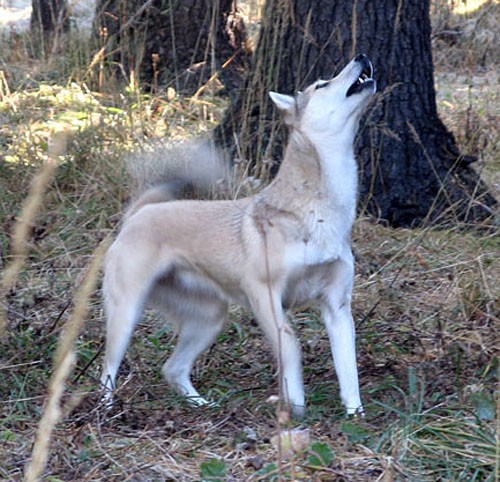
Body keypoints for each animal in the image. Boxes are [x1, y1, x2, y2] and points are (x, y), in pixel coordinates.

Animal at [100, 54, 376, 417]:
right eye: (322, 84)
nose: (362, 56)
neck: (316, 210)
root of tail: (136, 216)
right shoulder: (265, 294)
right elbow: (292, 346)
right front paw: (295, 406)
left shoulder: (337, 307)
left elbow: (349, 369)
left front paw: (355, 415)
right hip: (126, 312)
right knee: (107, 369)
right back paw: (103, 410)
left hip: (210, 318)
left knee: (172, 368)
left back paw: (201, 404)